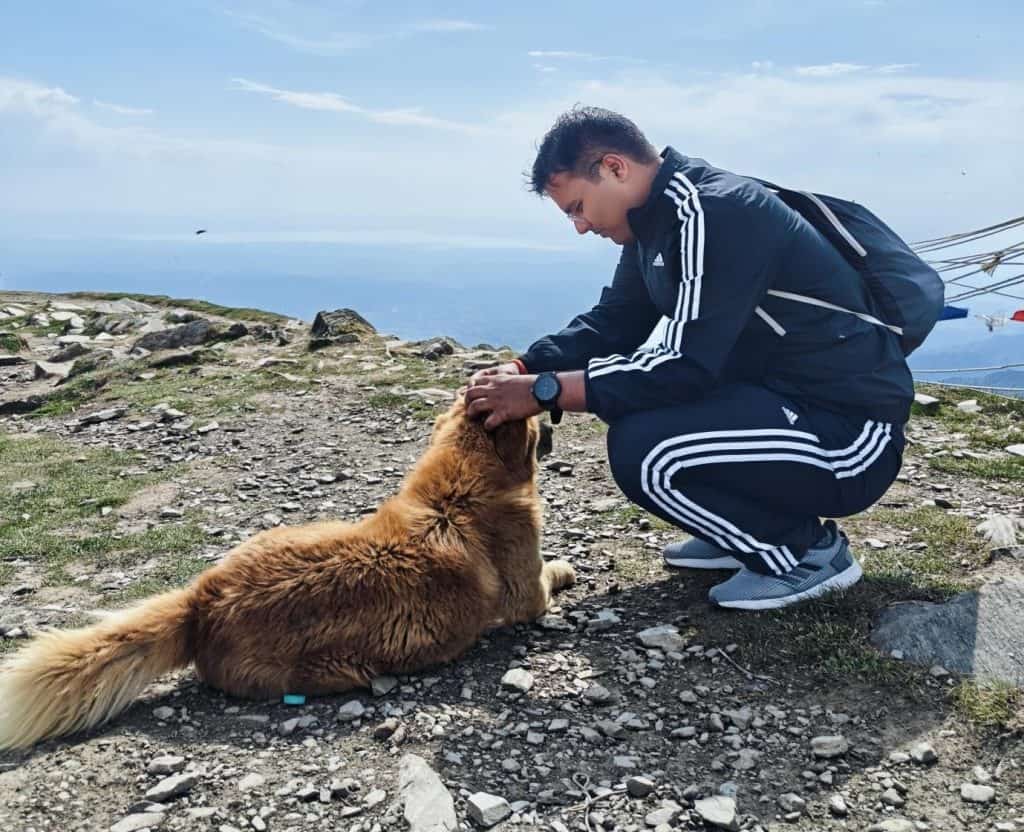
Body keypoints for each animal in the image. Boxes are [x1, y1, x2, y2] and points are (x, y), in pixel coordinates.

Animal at [0, 399, 577, 750]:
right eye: (534, 426)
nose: (554, 422)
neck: (458, 487)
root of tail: (201, 604)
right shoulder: (528, 592)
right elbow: (545, 579)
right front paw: (566, 567)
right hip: (320, 669)